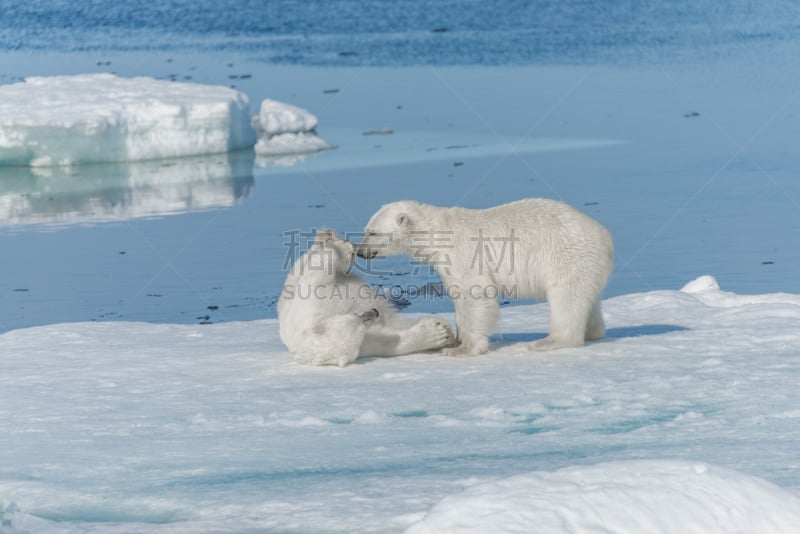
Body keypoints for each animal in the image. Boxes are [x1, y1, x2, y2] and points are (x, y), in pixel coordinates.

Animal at [276, 230, 454, 368]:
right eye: (360, 325)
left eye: (355, 315)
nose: (374, 312)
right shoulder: (364, 344)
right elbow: (388, 341)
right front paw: (439, 334)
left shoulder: (311, 304)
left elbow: (318, 274)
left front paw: (343, 247)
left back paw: (326, 237)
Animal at [356, 199, 612, 358]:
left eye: (372, 232)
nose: (360, 251)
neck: (437, 233)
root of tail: (605, 236)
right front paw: (454, 340)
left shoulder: (465, 255)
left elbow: (476, 295)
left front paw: (462, 349)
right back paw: (593, 331)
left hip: (566, 257)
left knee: (565, 298)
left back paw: (549, 341)